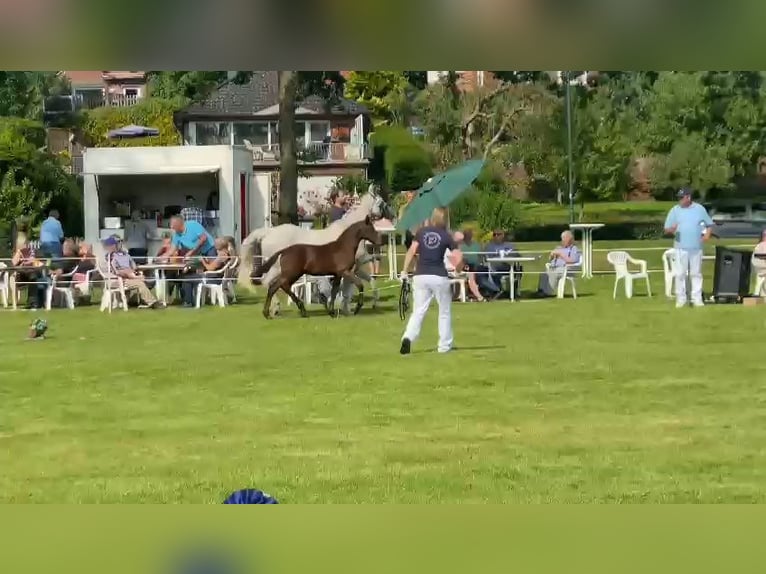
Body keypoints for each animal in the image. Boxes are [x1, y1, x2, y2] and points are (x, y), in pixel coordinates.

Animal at [238, 189, 396, 316]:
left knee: (271, 283)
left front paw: (371, 302)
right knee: (269, 282)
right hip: (280, 269)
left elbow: (370, 281)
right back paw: (277, 308)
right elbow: (348, 288)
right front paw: (347, 308)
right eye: (382, 203)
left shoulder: (354, 268)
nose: (393, 215)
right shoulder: (349, 269)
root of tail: (269, 232)